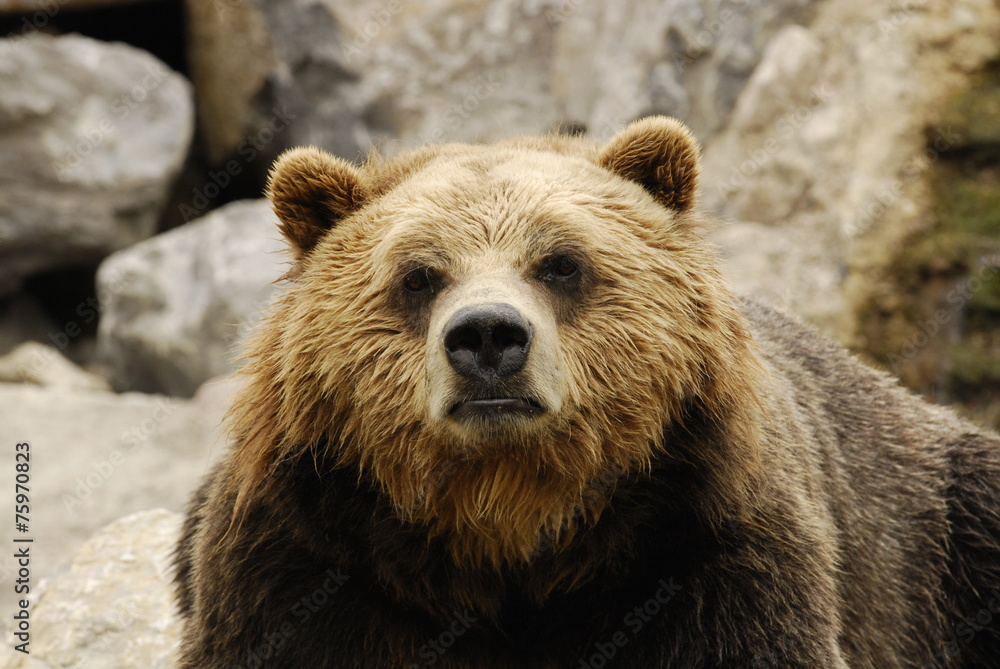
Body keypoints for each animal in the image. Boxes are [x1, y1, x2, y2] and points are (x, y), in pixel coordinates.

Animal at [174, 116, 1000, 668]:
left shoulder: (704, 546)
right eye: (418, 275)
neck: (507, 525)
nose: (487, 337)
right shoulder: (313, 557)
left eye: (561, 263)